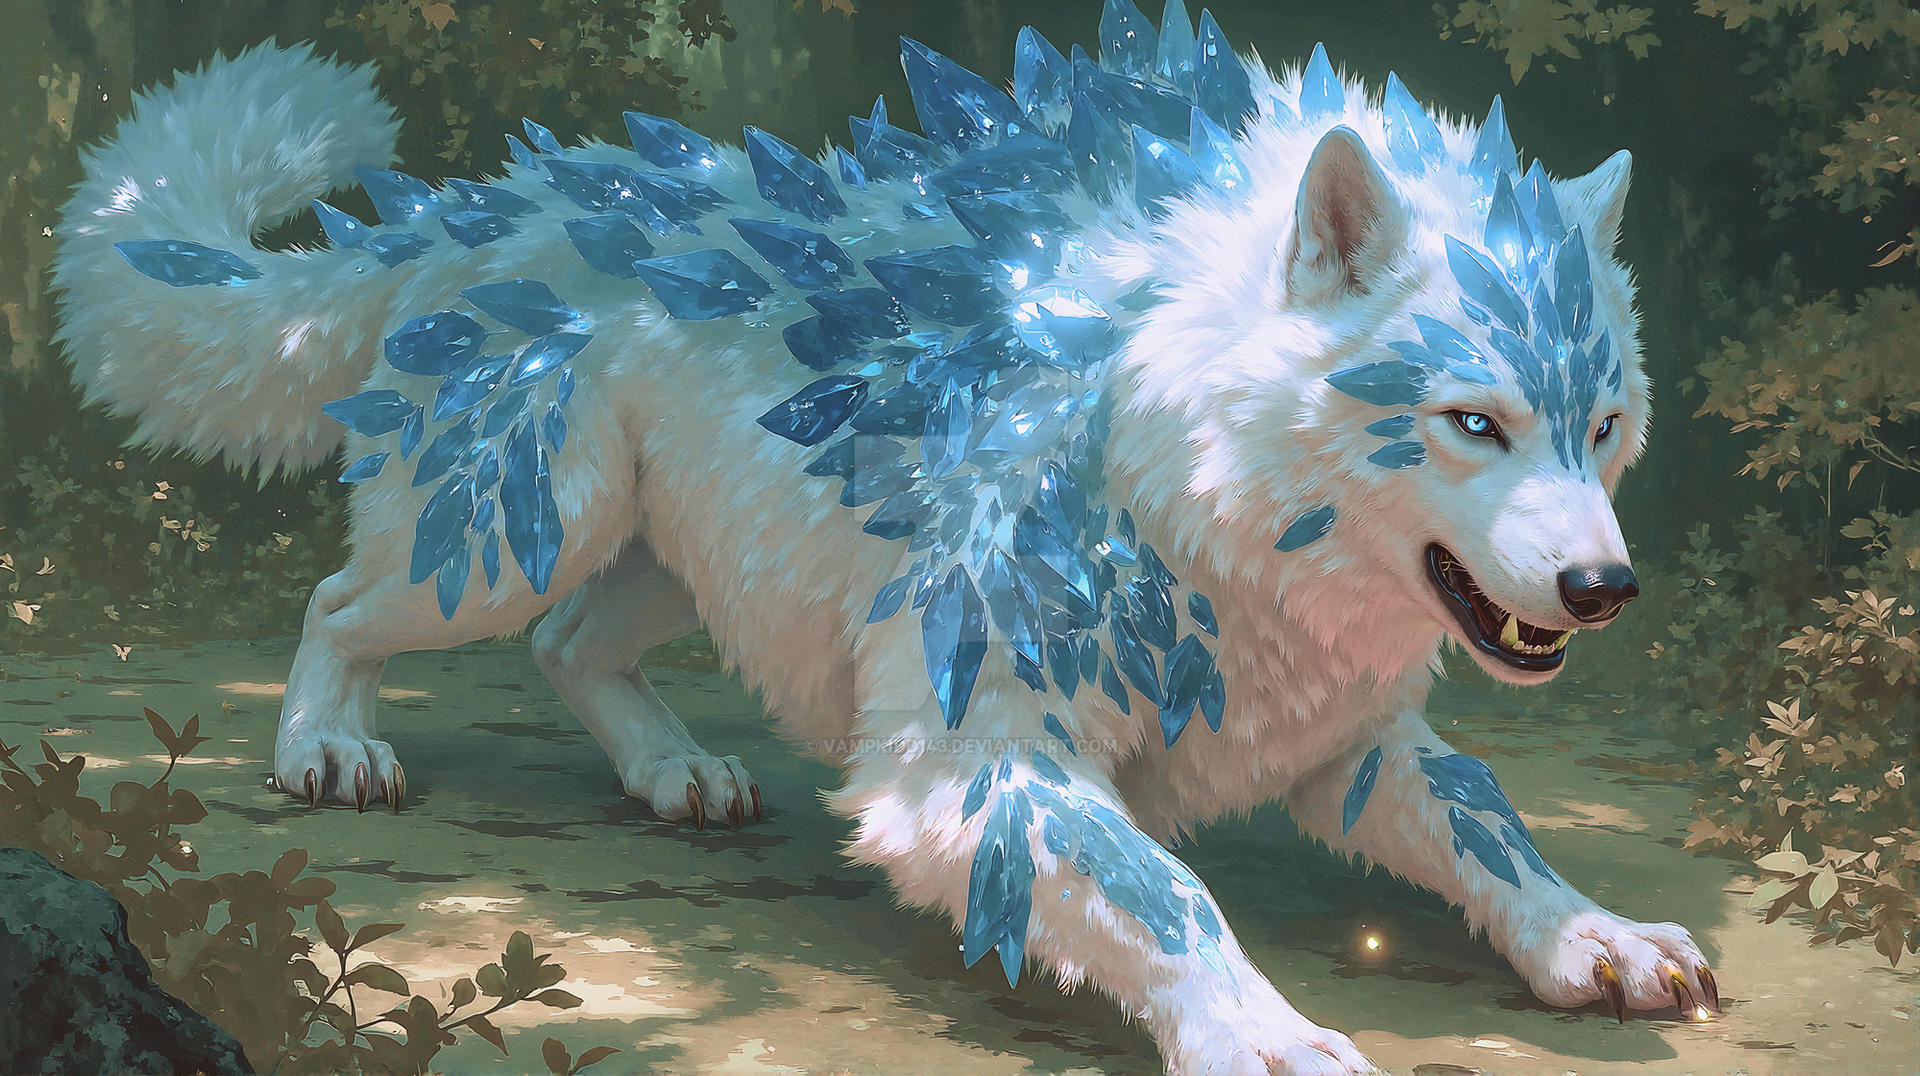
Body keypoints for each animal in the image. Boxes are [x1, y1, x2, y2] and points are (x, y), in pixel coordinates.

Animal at [52, 3, 1718, 1071]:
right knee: (342, 602)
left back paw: (680, 774)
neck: (1169, 466)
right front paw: (1273, 1037)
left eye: (1603, 428)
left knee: (569, 649)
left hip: (685, 565)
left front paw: (1600, 940)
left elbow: (1490, 819)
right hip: (515, 539)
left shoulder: (1345, 742)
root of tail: (505, 189)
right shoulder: (970, 767)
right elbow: (1167, 894)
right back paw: (328, 750)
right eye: (1472, 423)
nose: (1606, 589)